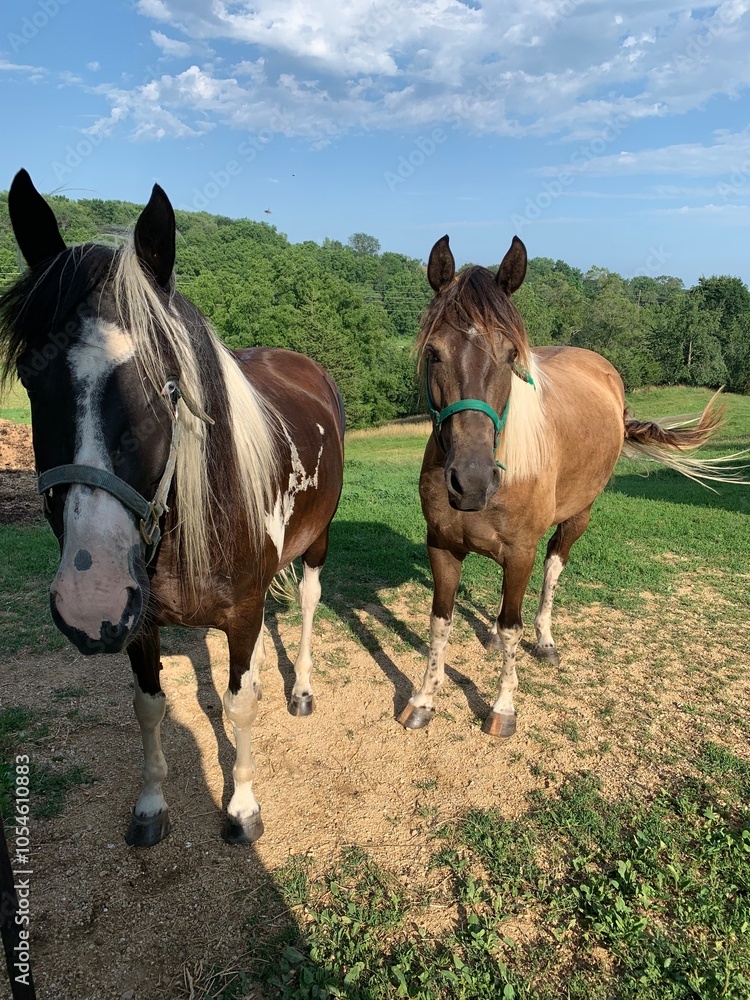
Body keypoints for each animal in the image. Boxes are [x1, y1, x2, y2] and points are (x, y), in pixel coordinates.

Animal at [0, 170, 345, 846]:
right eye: (30, 377)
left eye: (168, 384)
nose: (91, 600)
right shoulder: (141, 624)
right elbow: (150, 705)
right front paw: (151, 804)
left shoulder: (240, 612)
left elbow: (238, 705)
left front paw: (241, 806)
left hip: (317, 543)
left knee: (310, 603)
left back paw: (301, 689)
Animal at [398, 233, 741, 738]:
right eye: (433, 353)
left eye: (511, 356)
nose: (473, 481)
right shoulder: (441, 545)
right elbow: (440, 623)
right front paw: (423, 700)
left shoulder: (520, 550)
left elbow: (512, 628)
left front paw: (503, 707)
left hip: (577, 516)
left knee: (552, 571)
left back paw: (545, 641)